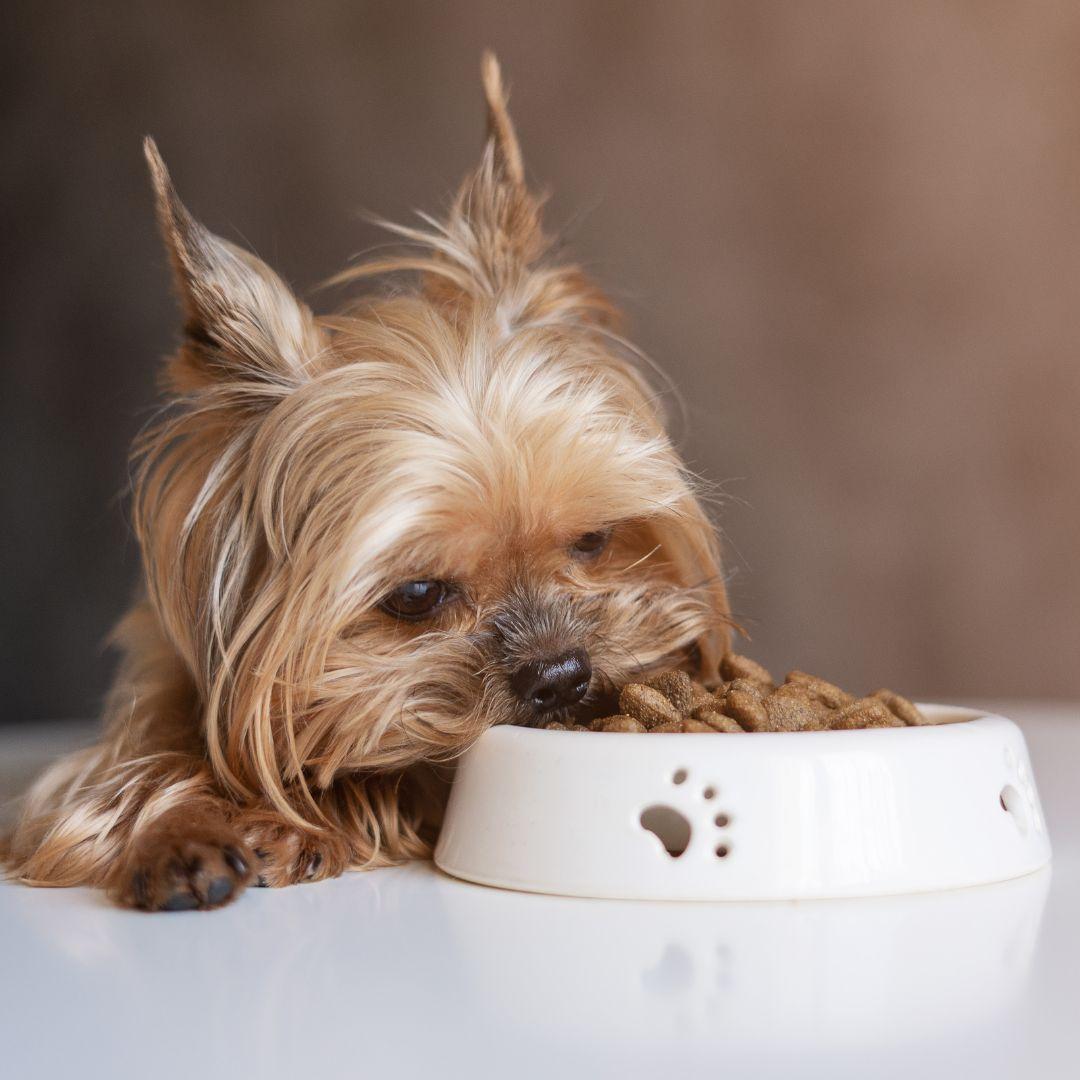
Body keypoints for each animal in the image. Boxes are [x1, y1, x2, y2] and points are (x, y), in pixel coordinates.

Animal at [2, 54, 734, 907]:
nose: (560, 675)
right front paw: (183, 836)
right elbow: (118, 783)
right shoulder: (139, 710)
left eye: (593, 539)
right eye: (414, 596)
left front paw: (297, 821)